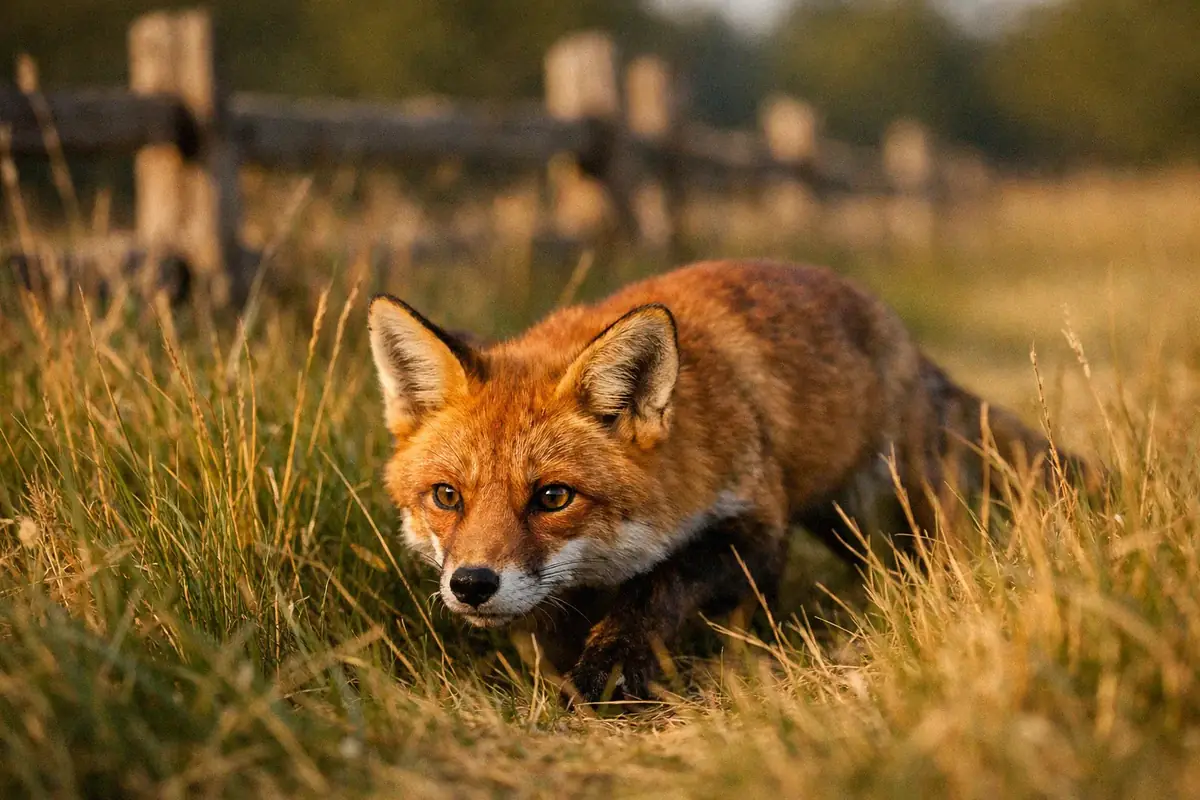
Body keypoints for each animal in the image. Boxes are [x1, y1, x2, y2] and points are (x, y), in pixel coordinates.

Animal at [367, 259, 1097, 704]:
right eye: (446, 497)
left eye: (552, 497)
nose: (471, 585)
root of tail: (896, 328)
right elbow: (556, 627)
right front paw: (564, 674)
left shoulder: (753, 526)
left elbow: (659, 584)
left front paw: (613, 667)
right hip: (840, 523)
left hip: (890, 503)